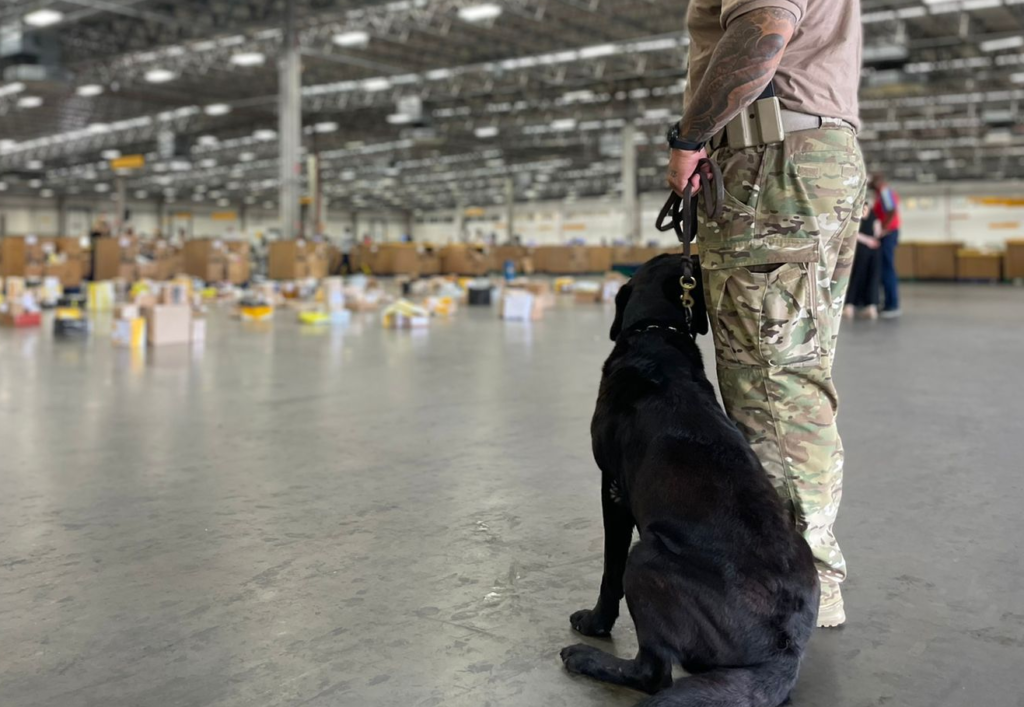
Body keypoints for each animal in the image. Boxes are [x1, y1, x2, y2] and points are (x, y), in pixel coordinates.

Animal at [561, 253, 815, 704]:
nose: (696, 253)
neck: (655, 334)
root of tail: (784, 650)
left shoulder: (612, 488)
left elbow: (609, 569)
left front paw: (595, 622)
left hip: (645, 557)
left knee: (652, 673)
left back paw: (586, 659)